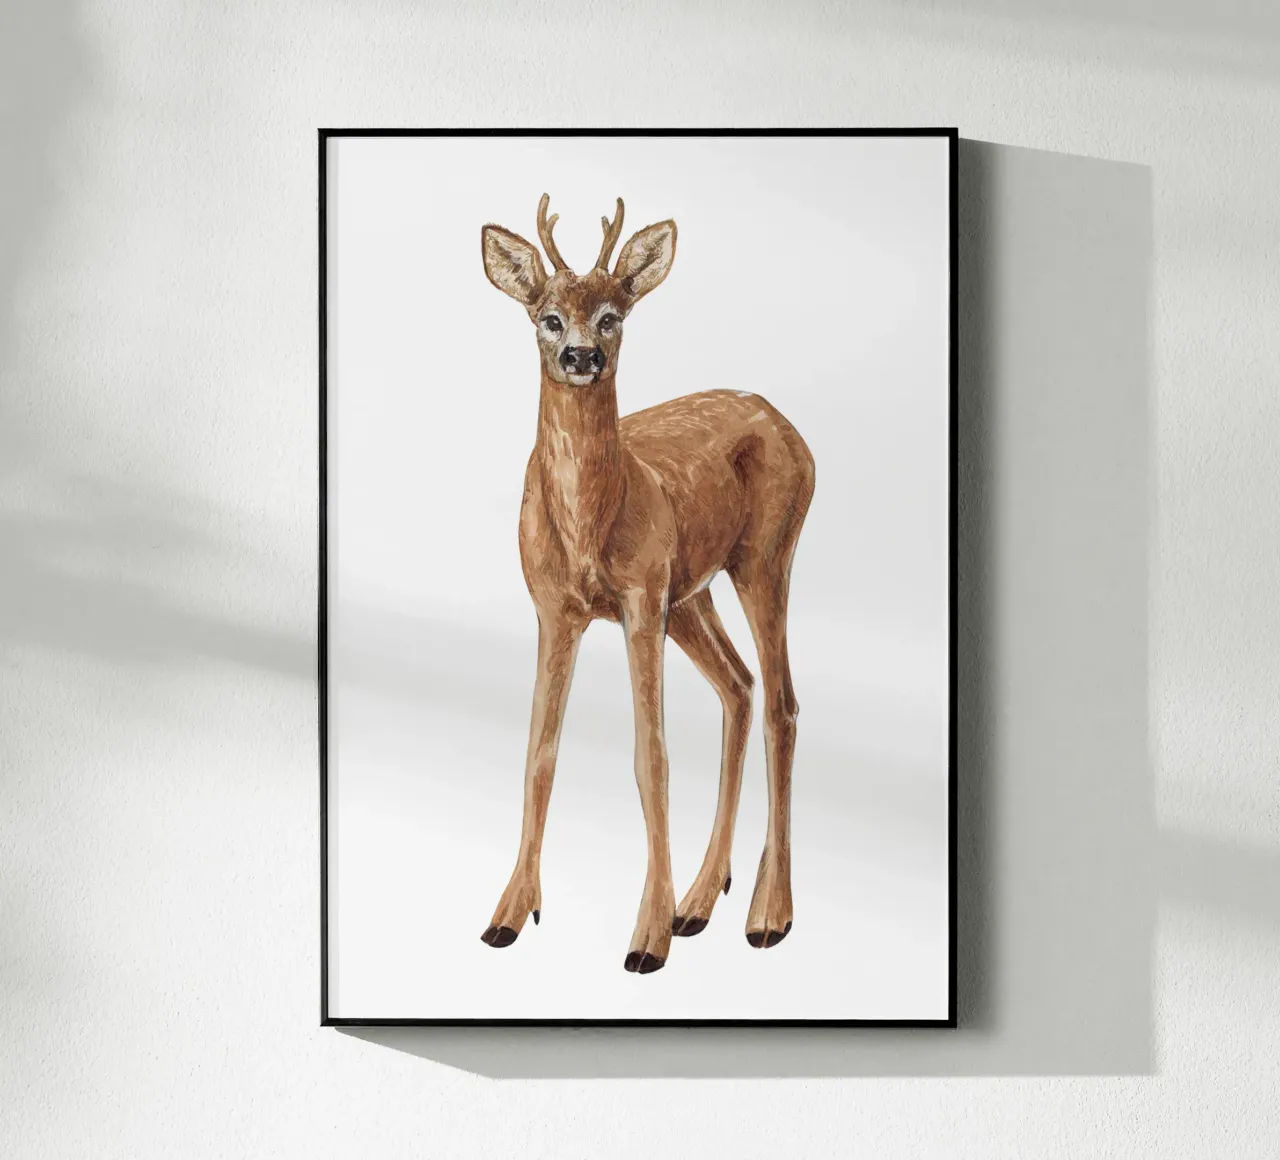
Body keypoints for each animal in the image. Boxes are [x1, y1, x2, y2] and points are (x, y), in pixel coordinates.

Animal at [478, 193, 815, 975]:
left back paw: (766, 916)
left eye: (613, 315)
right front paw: (509, 914)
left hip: (763, 557)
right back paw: (701, 900)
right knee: (740, 685)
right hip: (691, 593)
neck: (590, 525)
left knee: (782, 702)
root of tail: (792, 429)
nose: (582, 356)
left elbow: (650, 758)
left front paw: (645, 938)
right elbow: (540, 755)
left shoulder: (637, 600)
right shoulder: (555, 609)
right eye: (547, 316)